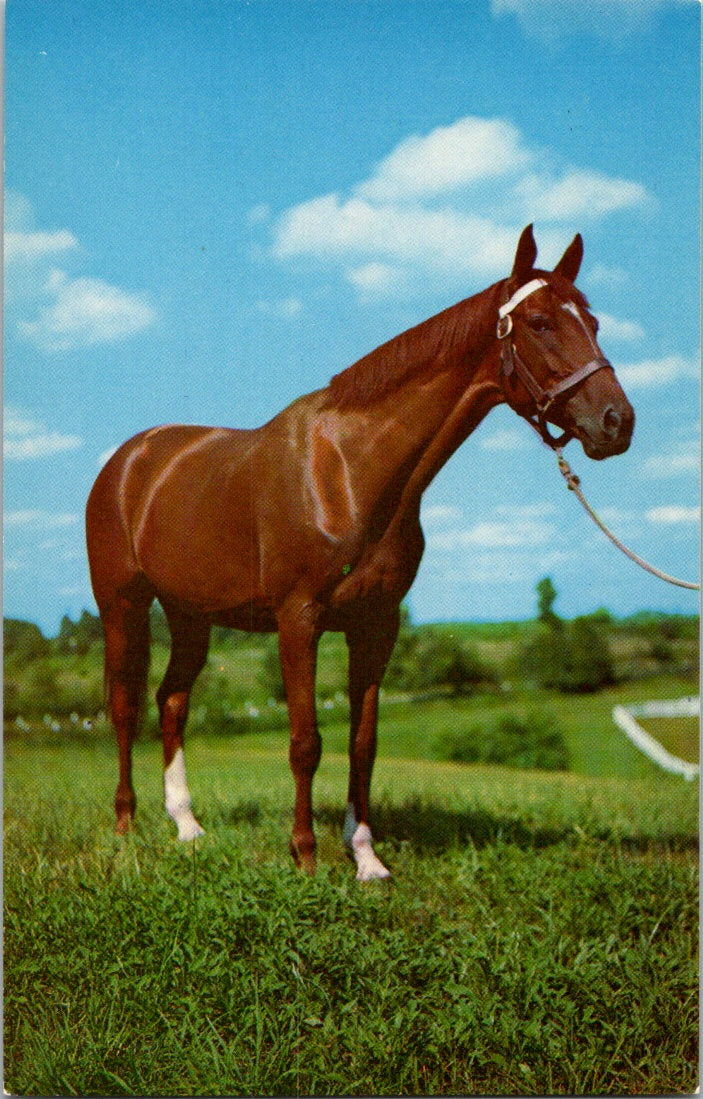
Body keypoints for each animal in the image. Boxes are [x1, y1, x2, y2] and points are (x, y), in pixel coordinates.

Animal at [85, 227, 632, 879]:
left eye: (594, 322)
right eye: (541, 321)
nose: (617, 421)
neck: (349, 471)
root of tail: (130, 461)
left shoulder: (375, 624)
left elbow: (363, 742)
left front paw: (366, 857)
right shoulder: (299, 621)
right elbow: (305, 741)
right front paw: (305, 855)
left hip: (190, 616)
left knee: (172, 701)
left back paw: (187, 826)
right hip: (122, 606)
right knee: (124, 707)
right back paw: (124, 826)